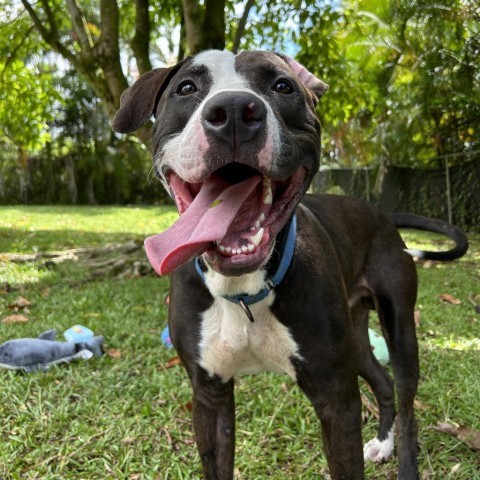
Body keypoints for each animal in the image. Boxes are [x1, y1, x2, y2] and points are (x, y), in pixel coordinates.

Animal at [113, 49, 468, 480]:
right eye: (186, 88)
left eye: (282, 86)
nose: (234, 111)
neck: (244, 291)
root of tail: (382, 214)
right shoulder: (209, 395)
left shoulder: (336, 399)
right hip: (356, 336)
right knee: (382, 384)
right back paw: (383, 443)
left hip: (399, 329)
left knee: (406, 402)